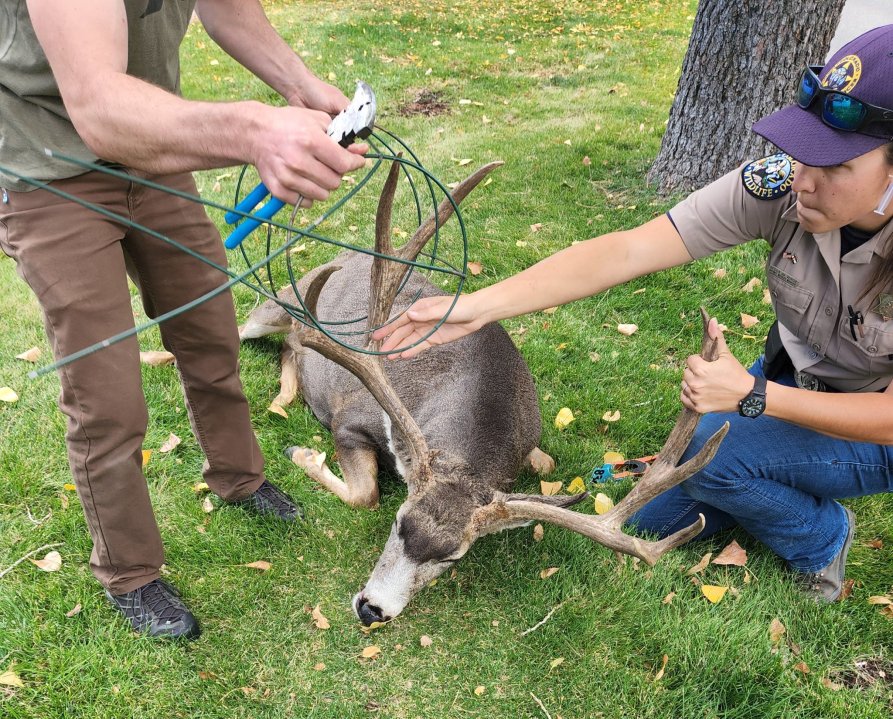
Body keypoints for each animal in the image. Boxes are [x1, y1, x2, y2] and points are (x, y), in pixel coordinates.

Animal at [240, 160, 728, 628]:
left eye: (452, 557)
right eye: (399, 523)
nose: (371, 610)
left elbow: (546, 464)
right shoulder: (351, 419)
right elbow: (366, 494)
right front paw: (303, 454)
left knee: (290, 348)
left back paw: (283, 397)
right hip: (276, 305)